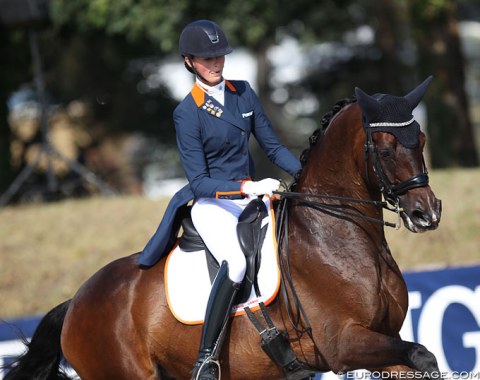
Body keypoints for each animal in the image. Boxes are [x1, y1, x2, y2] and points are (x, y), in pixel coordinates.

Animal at [3, 78, 442, 380]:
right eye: (385, 149)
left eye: (421, 138)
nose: (427, 214)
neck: (337, 237)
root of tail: (75, 302)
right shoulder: (343, 343)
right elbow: (423, 353)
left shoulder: (386, 341)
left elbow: (422, 358)